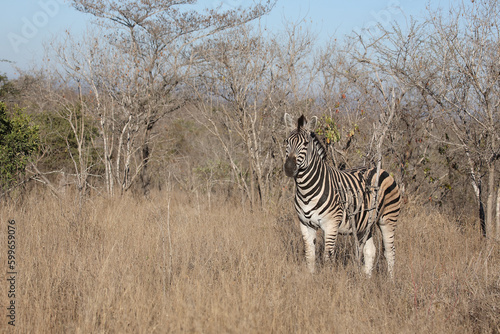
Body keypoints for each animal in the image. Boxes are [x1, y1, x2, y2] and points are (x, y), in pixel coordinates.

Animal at [284, 113, 400, 278]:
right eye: (287, 141)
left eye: (306, 143)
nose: (289, 168)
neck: (306, 190)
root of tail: (380, 170)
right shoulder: (305, 224)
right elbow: (310, 255)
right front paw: (311, 279)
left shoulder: (331, 225)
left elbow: (328, 257)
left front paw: (327, 280)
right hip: (365, 224)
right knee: (370, 251)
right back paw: (366, 279)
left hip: (388, 219)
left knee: (390, 251)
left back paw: (390, 281)